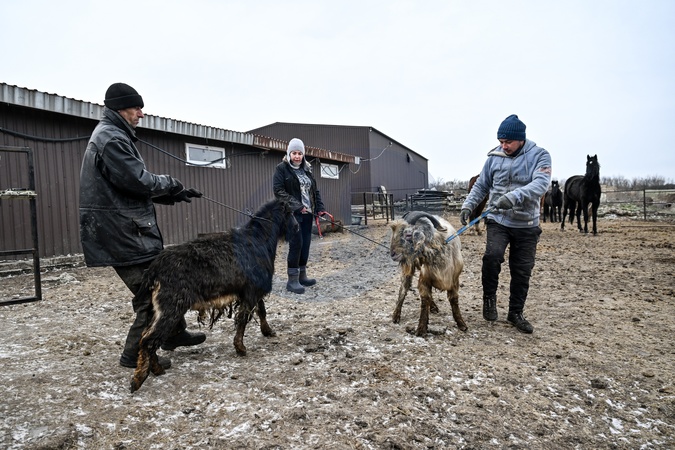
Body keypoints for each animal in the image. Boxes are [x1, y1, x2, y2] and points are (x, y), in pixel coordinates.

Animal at [130, 199, 298, 392]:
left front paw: (267, 331)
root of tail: (154, 269)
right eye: (290, 213)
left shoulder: (251, 289)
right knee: (149, 339)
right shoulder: (251, 290)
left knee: (145, 335)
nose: (297, 228)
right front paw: (240, 348)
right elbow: (243, 318)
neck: (258, 238)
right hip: (171, 306)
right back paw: (139, 379)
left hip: (160, 307)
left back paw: (155, 368)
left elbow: (260, 310)